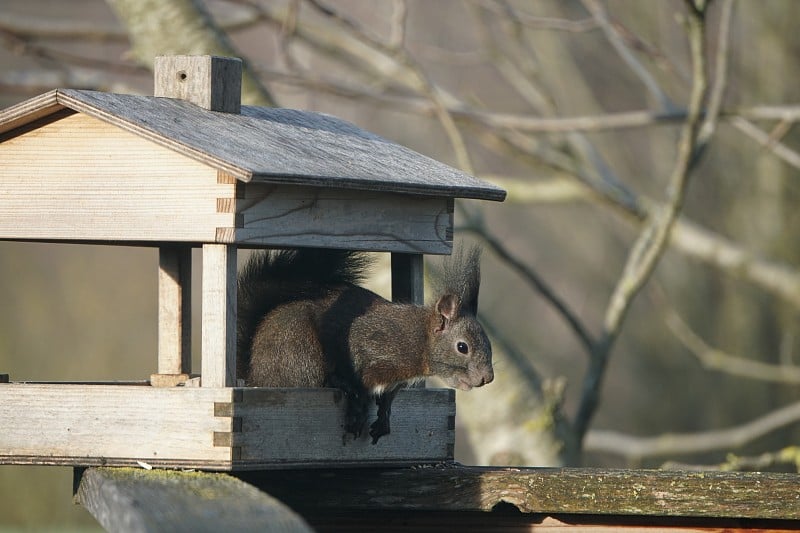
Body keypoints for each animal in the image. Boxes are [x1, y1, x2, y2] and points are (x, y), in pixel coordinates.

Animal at [234, 247, 494, 442]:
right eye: (462, 347)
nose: (487, 378)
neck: (417, 340)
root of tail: (255, 375)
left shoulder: (395, 381)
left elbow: (389, 397)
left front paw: (384, 418)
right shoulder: (364, 345)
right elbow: (357, 382)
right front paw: (357, 408)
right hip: (298, 347)